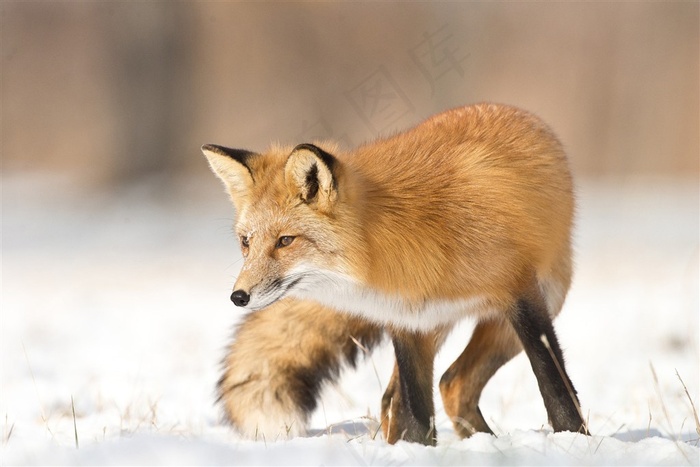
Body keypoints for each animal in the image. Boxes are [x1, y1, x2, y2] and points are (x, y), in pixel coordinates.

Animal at [202, 103, 584, 446]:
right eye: (246, 242)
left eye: (285, 241)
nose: (239, 296)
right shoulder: (408, 322)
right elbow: (416, 414)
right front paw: (417, 451)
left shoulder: (522, 294)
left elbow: (557, 390)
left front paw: (573, 440)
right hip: (440, 329)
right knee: (425, 391)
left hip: (529, 311)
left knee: (452, 384)